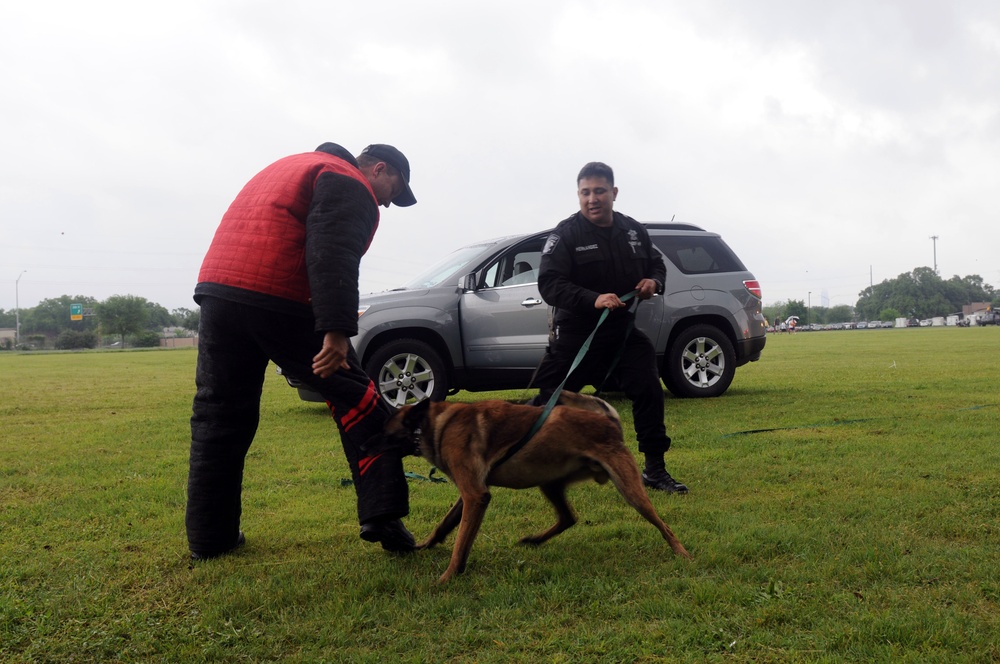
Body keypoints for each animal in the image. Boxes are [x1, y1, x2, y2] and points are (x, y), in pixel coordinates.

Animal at [368, 392, 688, 584]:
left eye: (382, 432)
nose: (362, 446)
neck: (431, 425)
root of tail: (609, 421)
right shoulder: (472, 494)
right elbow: (447, 526)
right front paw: (426, 547)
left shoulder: (475, 494)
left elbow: (460, 542)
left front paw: (448, 576)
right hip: (550, 484)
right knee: (568, 518)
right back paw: (534, 540)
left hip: (630, 490)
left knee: (664, 526)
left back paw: (682, 554)